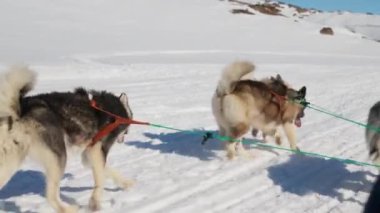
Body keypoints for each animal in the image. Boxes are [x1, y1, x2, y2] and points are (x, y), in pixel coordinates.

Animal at [0, 66, 134, 211]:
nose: (125, 137)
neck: (114, 112)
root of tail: (21, 110)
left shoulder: (88, 155)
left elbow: (109, 172)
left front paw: (127, 183)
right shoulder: (96, 151)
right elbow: (100, 179)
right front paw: (95, 202)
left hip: (11, 161)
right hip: (59, 157)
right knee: (51, 197)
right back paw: (69, 209)